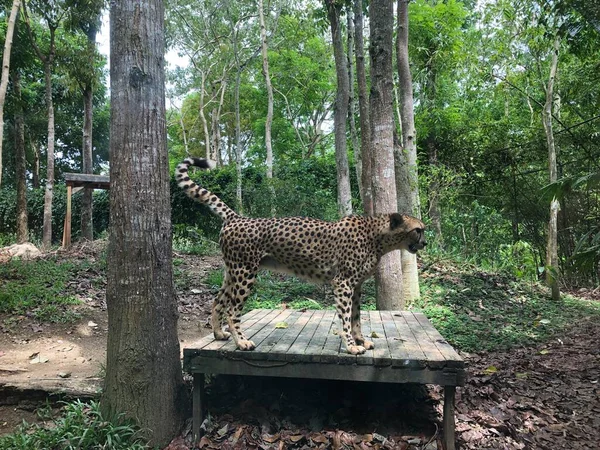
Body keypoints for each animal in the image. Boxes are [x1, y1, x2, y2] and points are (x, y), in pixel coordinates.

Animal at [175, 158, 426, 356]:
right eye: (418, 230)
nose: (424, 243)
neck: (378, 238)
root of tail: (237, 217)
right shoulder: (343, 283)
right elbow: (345, 318)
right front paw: (351, 345)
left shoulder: (356, 286)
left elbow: (356, 316)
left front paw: (361, 340)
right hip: (245, 273)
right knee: (232, 310)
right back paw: (242, 342)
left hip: (232, 272)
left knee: (218, 300)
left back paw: (218, 333)